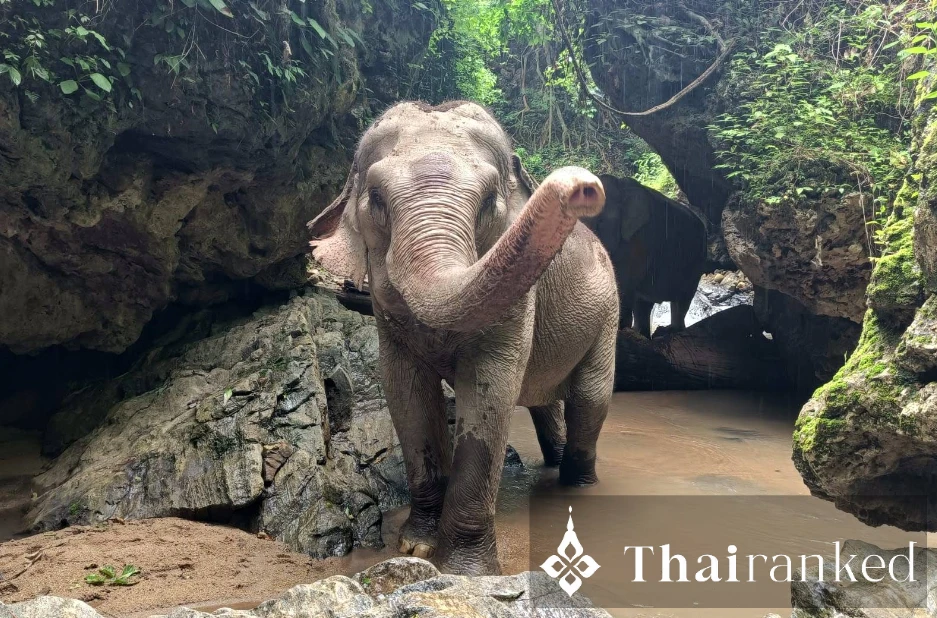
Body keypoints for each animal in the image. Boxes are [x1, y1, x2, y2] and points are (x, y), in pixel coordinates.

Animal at [308, 101, 618, 576]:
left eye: (490, 200)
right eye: (376, 198)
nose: (587, 187)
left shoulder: (518, 303)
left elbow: (488, 389)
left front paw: (464, 570)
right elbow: (405, 391)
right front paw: (416, 547)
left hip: (607, 316)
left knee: (590, 397)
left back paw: (576, 484)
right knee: (546, 403)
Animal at [582, 174, 707, 337]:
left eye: (600, 222)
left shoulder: (639, 240)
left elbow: (623, 283)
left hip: (696, 262)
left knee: (681, 300)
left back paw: (670, 331)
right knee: (643, 305)